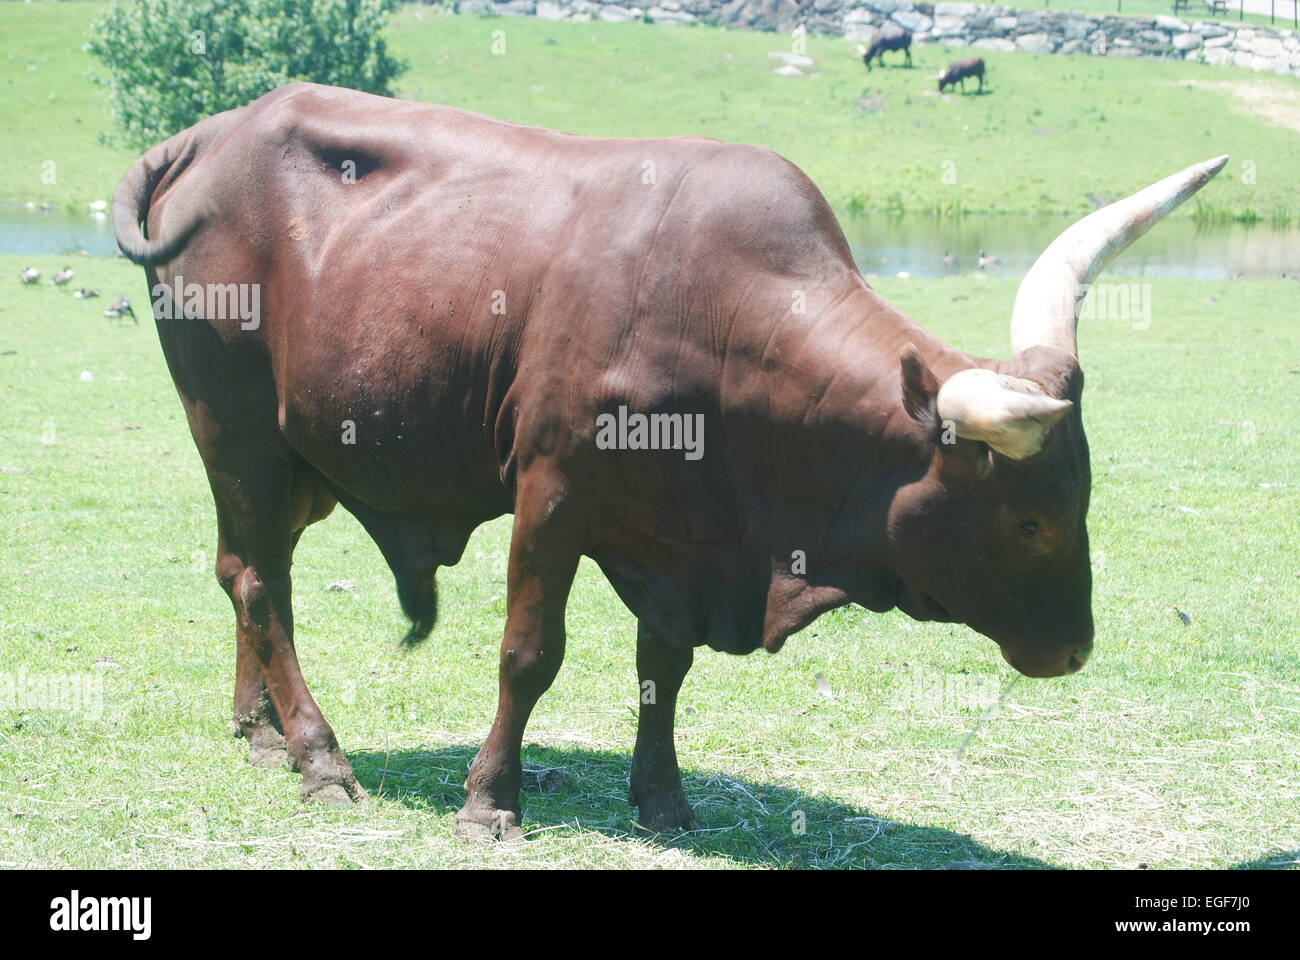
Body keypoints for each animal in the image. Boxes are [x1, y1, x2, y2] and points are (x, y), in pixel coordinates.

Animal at [111, 83, 1226, 839]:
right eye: (1030, 520)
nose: (1074, 649)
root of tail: (206, 133)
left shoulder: (680, 538)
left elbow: (665, 668)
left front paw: (664, 798)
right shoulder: (553, 490)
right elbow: (530, 653)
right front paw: (490, 798)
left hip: (290, 463)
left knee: (247, 569)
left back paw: (258, 730)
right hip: (235, 428)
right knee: (262, 585)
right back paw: (318, 757)